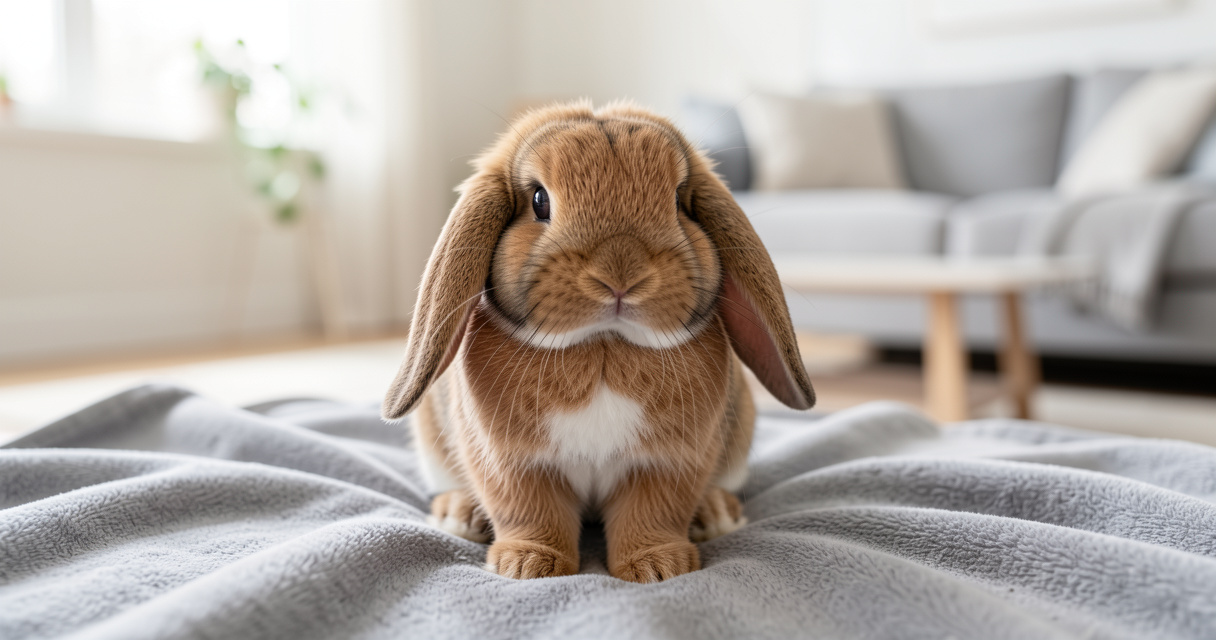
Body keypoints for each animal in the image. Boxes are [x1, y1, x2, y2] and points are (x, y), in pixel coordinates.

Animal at [382, 100, 814, 583]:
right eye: (539, 200)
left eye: (678, 200)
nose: (621, 275)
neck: (603, 347)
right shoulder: (511, 463)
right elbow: (531, 513)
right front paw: (528, 566)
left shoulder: (669, 463)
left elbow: (652, 516)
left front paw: (658, 568)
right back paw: (460, 514)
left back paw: (715, 514)